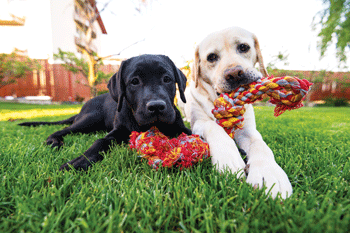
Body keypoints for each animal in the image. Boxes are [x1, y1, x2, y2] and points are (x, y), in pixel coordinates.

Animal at [19, 54, 191, 171]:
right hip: (89, 119)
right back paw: (54, 141)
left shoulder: (180, 127)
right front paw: (79, 161)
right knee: (62, 130)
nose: (156, 106)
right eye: (134, 81)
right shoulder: (117, 131)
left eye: (167, 79)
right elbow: (100, 141)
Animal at [183, 26, 292, 198]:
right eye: (211, 57)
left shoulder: (248, 130)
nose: (234, 74)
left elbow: (260, 145)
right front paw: (228, 158)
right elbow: (213, 126)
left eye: (243, 47)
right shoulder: (198, 122)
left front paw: (269, 173)